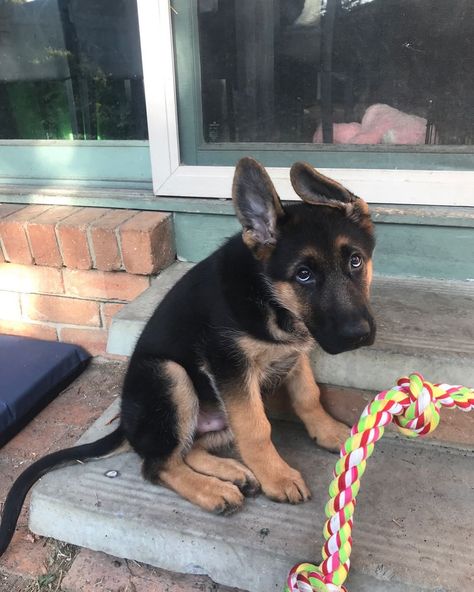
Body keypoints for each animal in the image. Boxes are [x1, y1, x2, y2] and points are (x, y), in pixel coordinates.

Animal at [0, 158, 376, 556]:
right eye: (303, 275)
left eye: (355, 261)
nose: (357, 335)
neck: (269, 296)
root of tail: (127, 425)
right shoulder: (228, 364)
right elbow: (257, 429)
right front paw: (277, 476)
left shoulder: (294, 351)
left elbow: (308, 395)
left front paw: (328, 431)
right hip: (170, 375)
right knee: (157, 465)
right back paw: (214, 491)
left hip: (213, 411)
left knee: (187, 448)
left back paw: (234, 473)